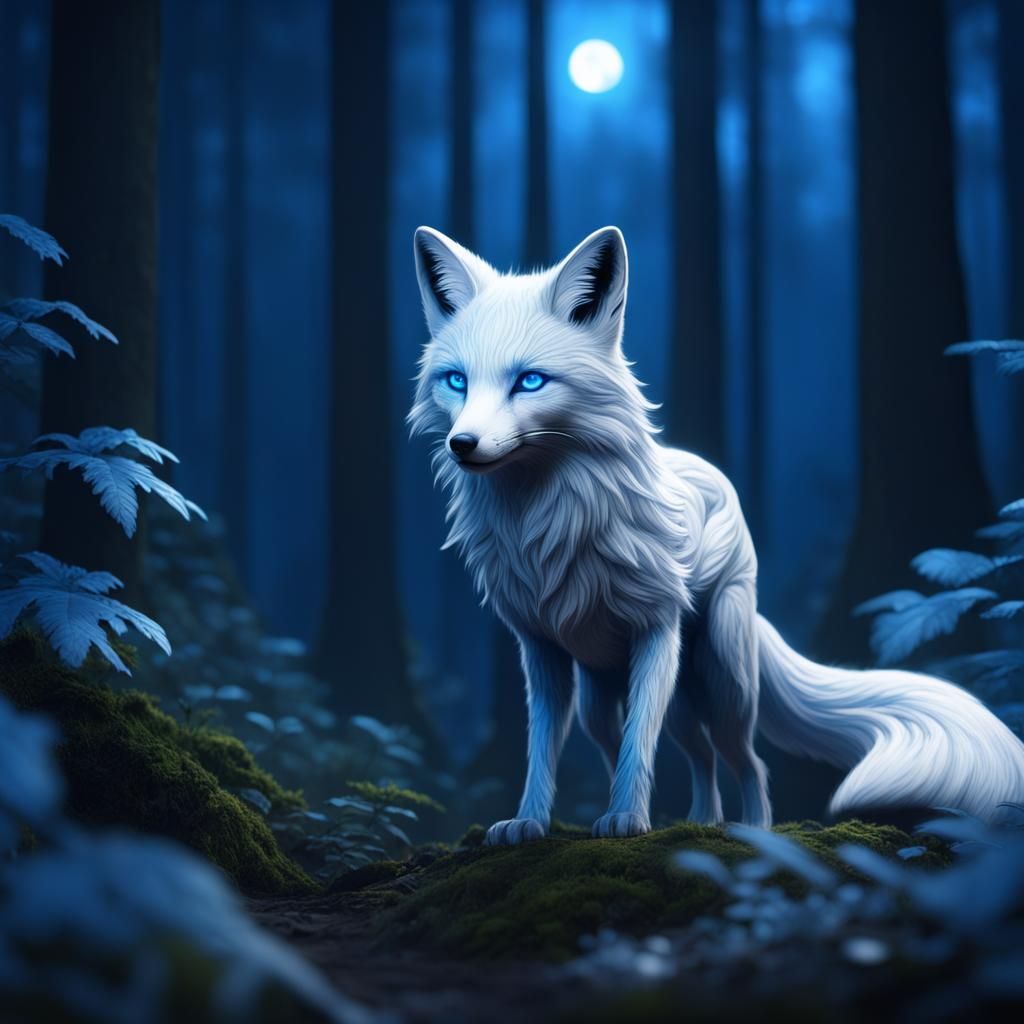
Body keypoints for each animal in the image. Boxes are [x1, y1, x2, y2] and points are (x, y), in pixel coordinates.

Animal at [407, 223, 1024, 844]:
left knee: (746, 760)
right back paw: (699, 822)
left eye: (529, 381)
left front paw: (628, 820)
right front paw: (531, 822)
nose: (463, 444)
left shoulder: (656, 631)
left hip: (721, 684)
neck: (547, 525)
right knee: (684, 755)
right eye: (457, 381)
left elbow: (640, 746)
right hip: (614, 701)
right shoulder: (541, 651)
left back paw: (751, 830)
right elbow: (543, 749)